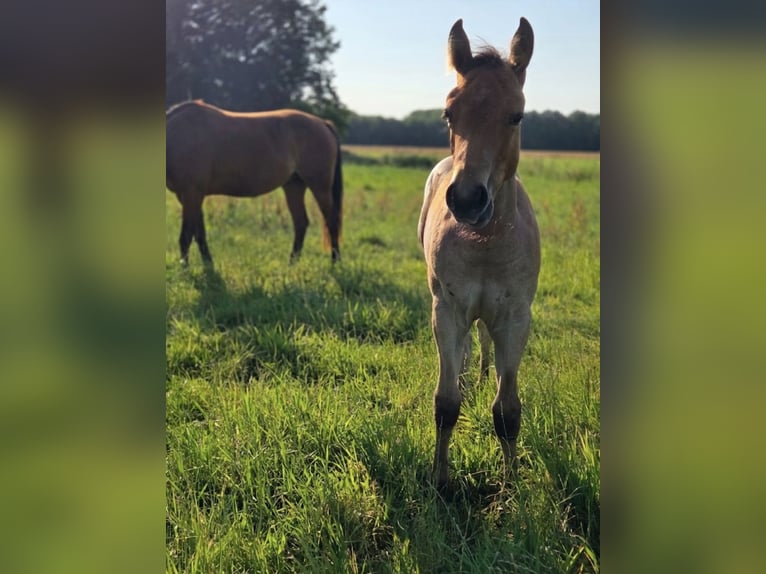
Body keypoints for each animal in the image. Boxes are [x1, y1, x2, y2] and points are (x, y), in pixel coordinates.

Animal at [166, 100, 343, 265]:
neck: (179, 135)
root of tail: (322, 123)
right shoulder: (188, 196)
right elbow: (199, 234)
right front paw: (208, 265)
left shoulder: (192, 193)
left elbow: (186, 236)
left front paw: (185, 269)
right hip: (294, 186)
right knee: (301, 223)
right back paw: (292, 264)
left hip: (320, 187)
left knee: (331, 221)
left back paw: (335, 262)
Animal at [418, 18, 540, 488]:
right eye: (449, 113)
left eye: (516, 115)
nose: (468, 199)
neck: (485, 243)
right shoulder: (447, 310)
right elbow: (446, 403)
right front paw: (439, 480)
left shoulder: (514, 316)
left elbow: (507, 411)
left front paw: (511, 485)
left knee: (484, 341)